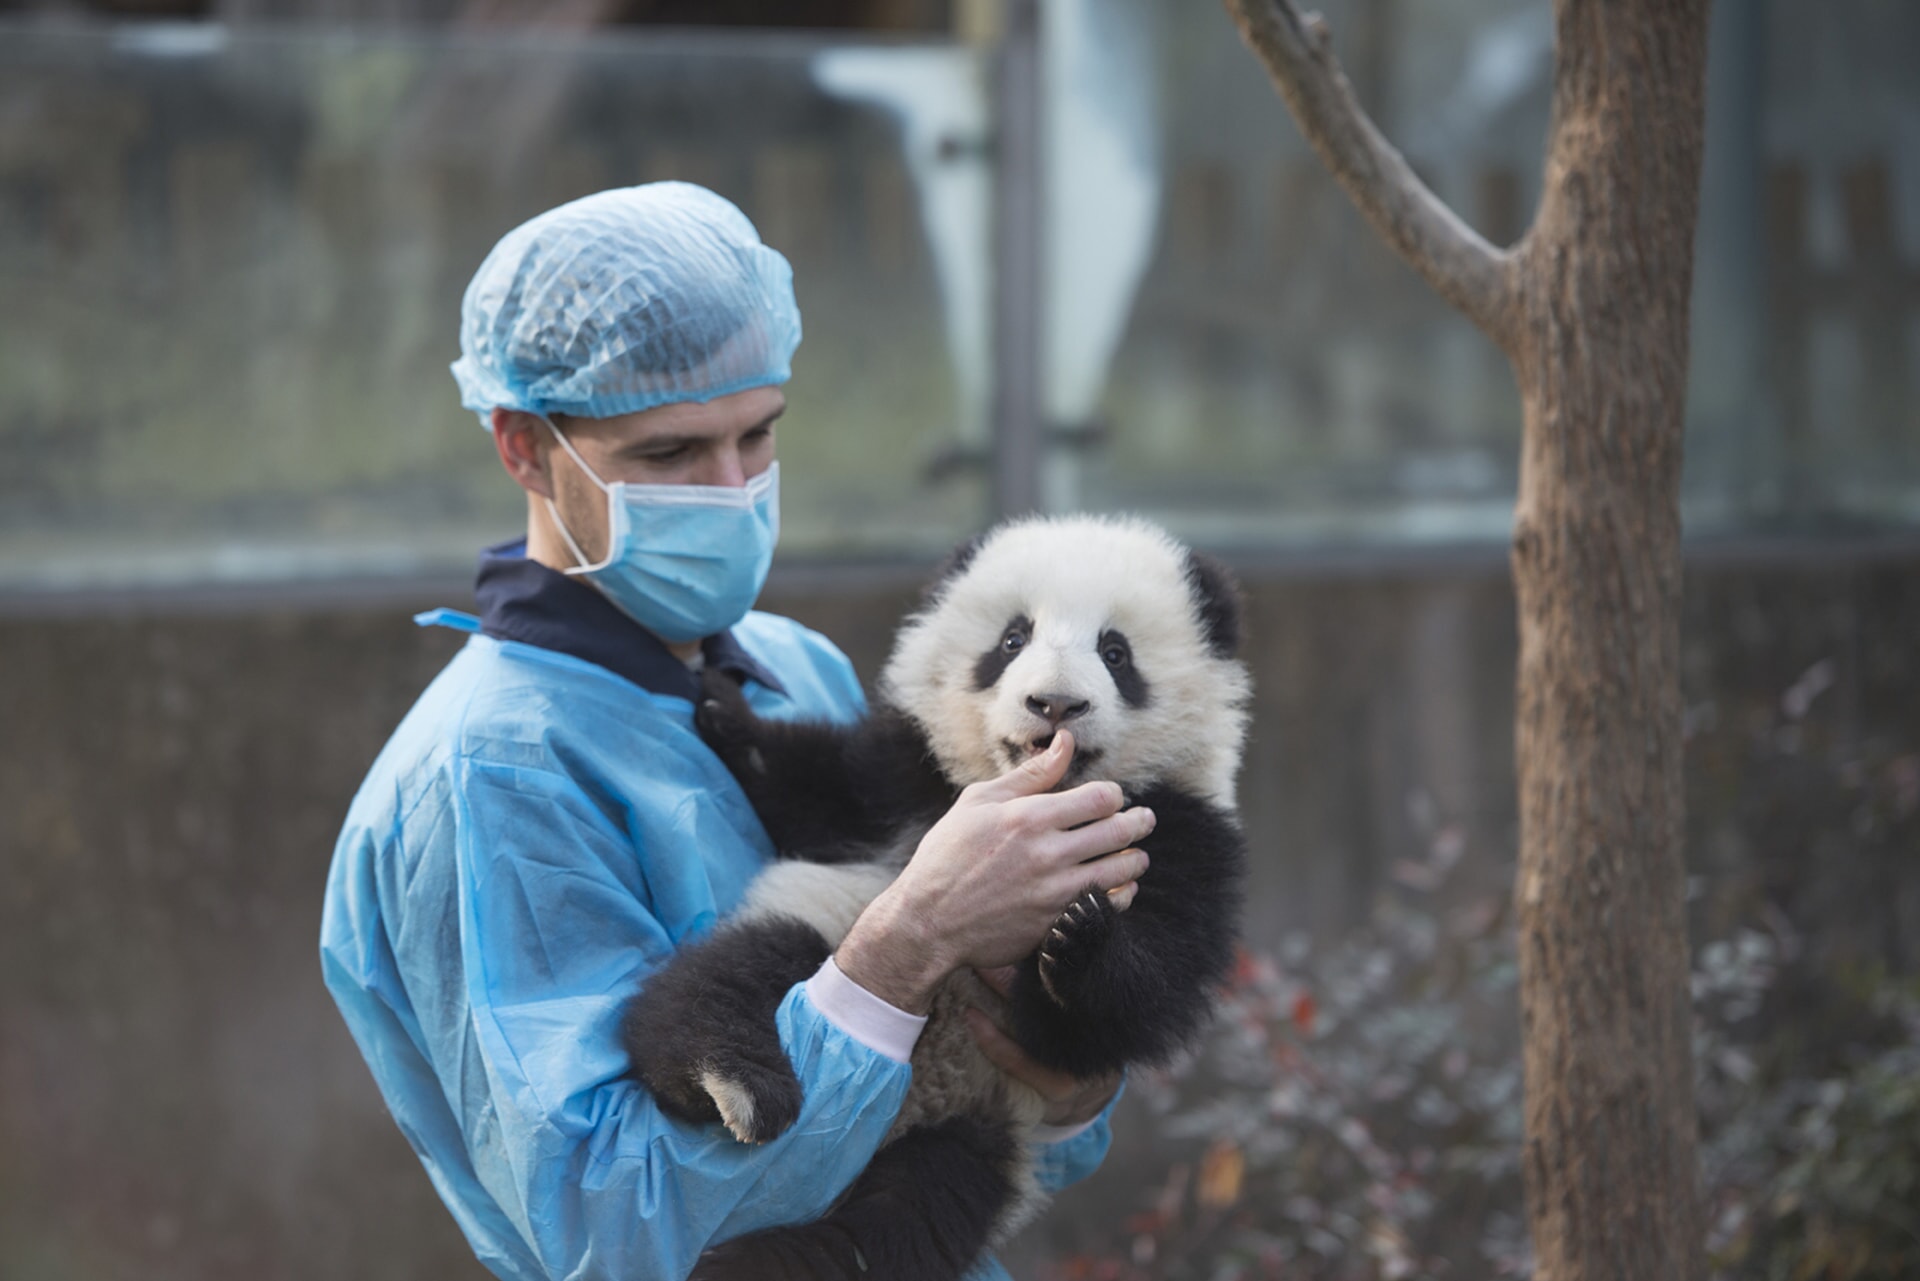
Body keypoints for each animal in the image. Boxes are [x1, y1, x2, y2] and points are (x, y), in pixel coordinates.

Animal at [624, 514, 1252, 1281]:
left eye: (1116, 652)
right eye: (1012, 640)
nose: (1054, 703)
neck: (1042, 800)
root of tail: (900, 1109)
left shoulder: (1187, 831)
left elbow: (1141, 993)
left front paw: (1080, 937)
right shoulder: (906, 779)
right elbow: (816, 785)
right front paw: (726, 709)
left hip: (981, 1128)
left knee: (910, 1215)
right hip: (833, 926)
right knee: (731, 974)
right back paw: (730, 1083)